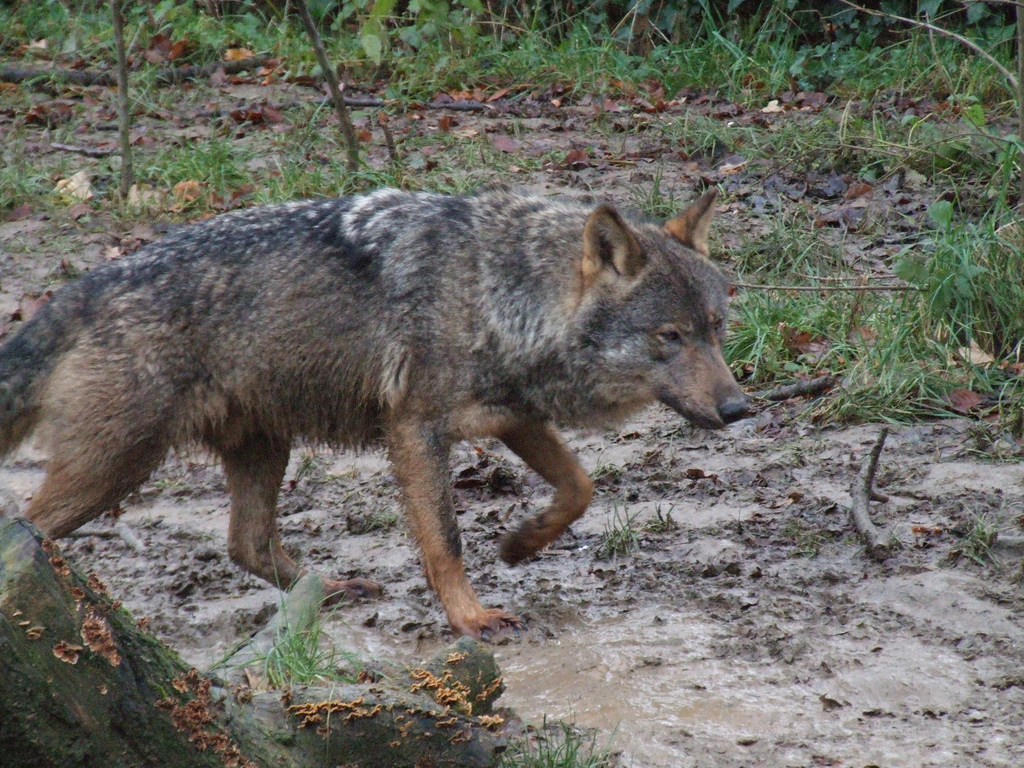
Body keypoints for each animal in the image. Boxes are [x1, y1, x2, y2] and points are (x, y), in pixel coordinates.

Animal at [0, 186, 749, 638]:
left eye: (716, 328)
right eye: (670, 336)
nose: (739, 408)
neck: (498, 293)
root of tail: (82, 288)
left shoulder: (514, 418)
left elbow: (580, 488)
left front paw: (520, 544)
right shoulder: (416, 430)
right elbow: (444, 541)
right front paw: (470, 617)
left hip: (261, 450)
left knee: (245, 543)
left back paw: (329, 591)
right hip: (116, 469)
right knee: (29, 526)